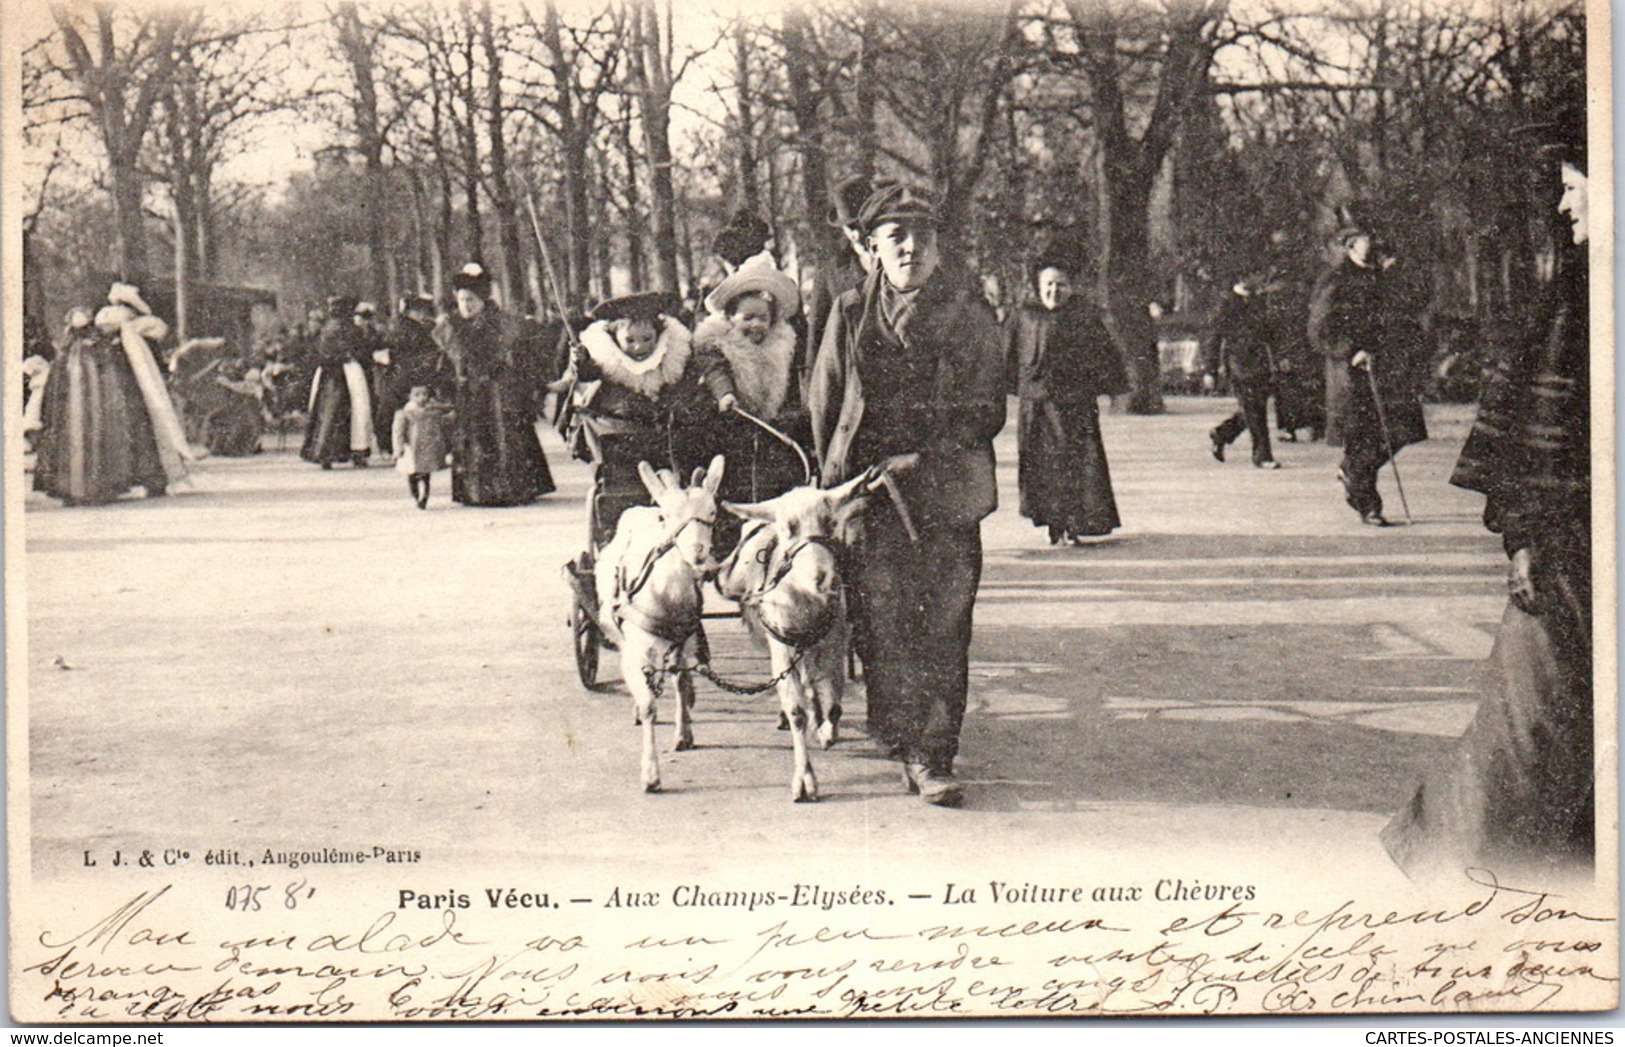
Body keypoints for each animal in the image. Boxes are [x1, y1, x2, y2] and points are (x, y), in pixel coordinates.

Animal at [598, 455, 724, 790]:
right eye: (667, 516)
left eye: (712, 512)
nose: (699, 554)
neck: (665, 597)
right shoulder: (635, 649)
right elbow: (649, 706)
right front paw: (651, 774)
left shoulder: (684, 640)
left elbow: (680, 681)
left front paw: (684, 734)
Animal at [715, 471, 877, 806]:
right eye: (789, 528)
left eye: (830, 522)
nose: (824, 579)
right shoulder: (781, 649)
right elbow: (796, 712)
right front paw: (805, 781)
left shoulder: (835, 643)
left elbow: (833, 698)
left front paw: (828, 730)